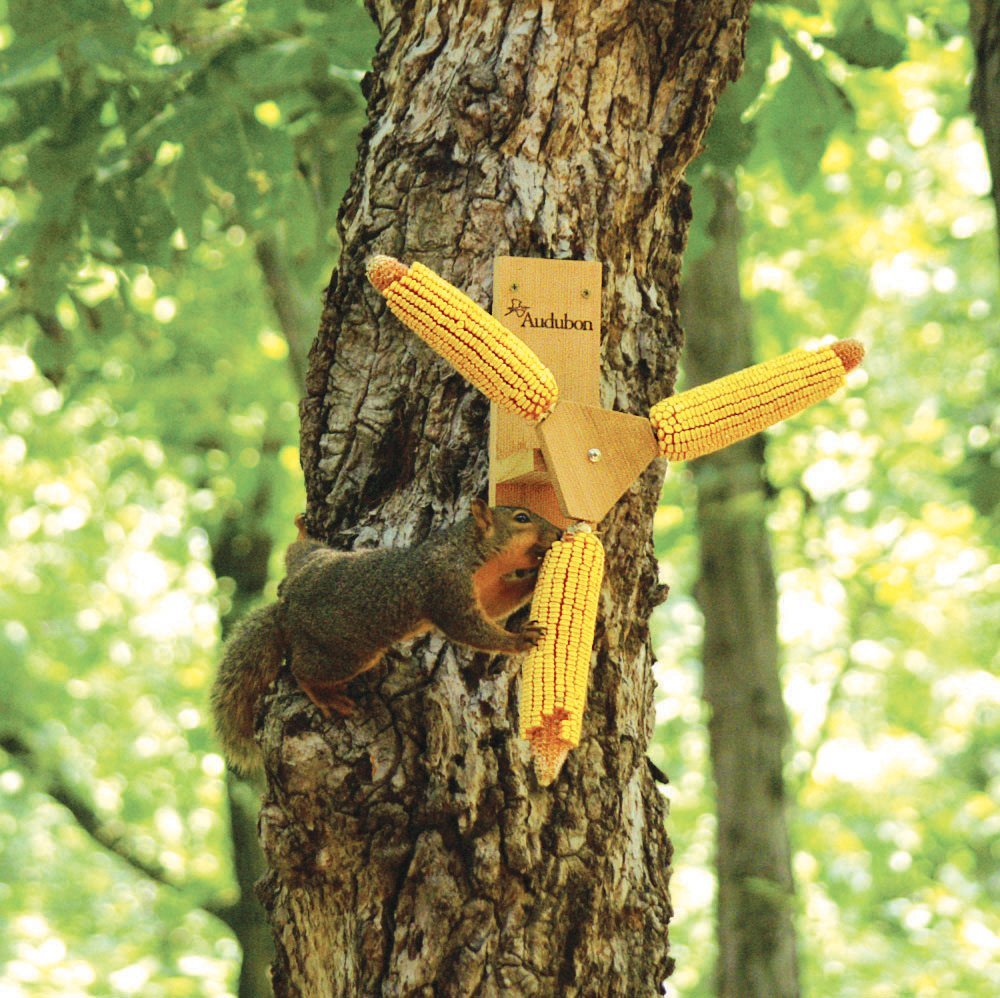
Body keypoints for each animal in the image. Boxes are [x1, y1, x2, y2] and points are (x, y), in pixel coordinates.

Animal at [211, 499, 562, 775]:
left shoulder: (487, 590)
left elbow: (499, 604)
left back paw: (302, 532)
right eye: (521, 518)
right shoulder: (446, 585)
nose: (559, 533)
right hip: (346, 655)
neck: (472, 552)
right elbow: (468, 628)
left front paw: (539, 573)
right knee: (302, 671)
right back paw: (325, 697)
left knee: (298, 551)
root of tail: (286, 609)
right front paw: (518, 639)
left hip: (314, 560)